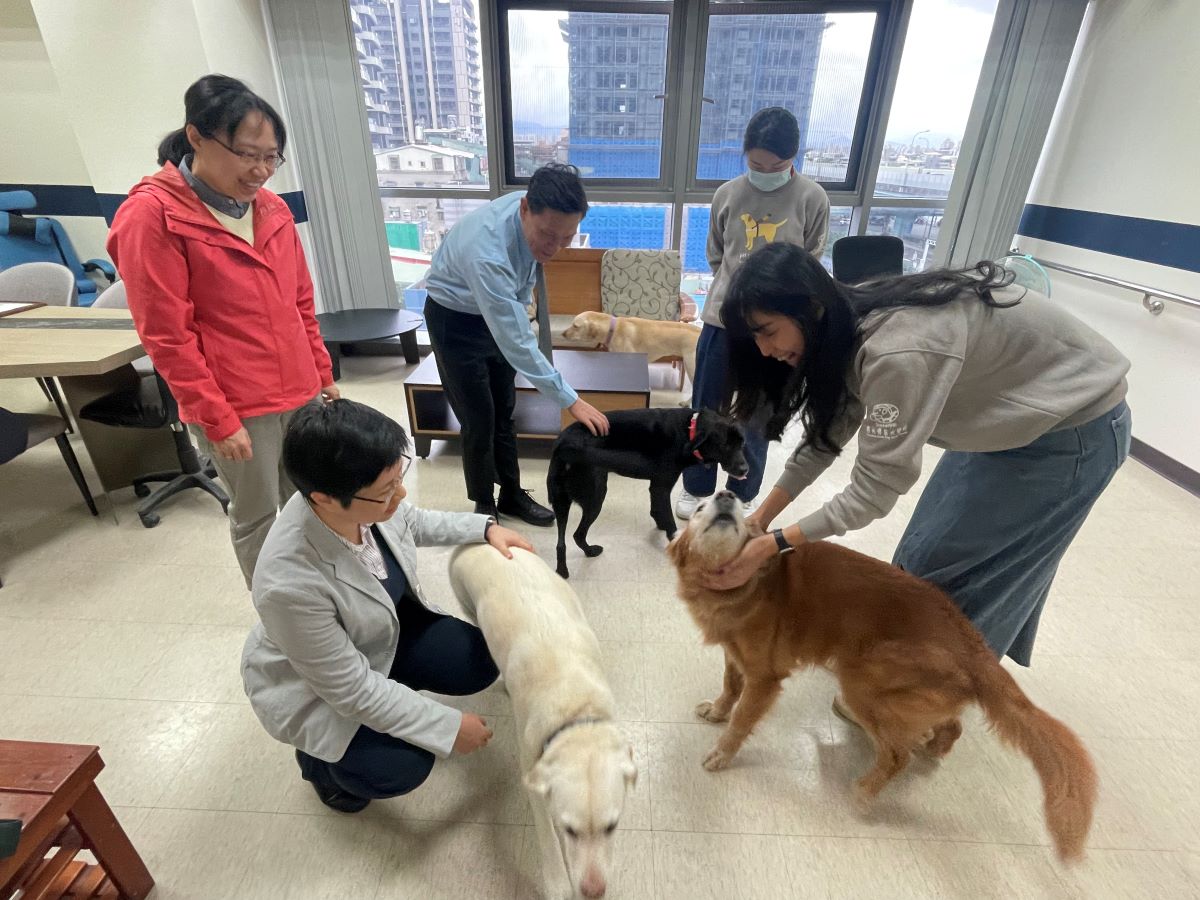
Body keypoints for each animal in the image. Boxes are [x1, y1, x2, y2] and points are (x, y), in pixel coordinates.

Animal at [451, 547, 638, 897]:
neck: (576, 711)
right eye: (570, 829)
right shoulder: (532, 770)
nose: (593, 891)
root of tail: (478, 543)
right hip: (464, 600)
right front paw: (557, 883)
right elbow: (546, 836)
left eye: (612, 826)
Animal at [549, 408, 744, 578]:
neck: (688, 430)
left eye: (742, 444)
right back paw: (589, 552)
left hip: (561, 503)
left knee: (561, 543)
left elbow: (656, 509)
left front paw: (660, 523)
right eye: (725, 445)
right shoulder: (662, 486)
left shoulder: (656, 485)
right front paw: (673, 539)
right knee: (578, 534)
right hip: (596, 497)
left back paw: (563, 570)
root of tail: (564, 445)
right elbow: (670, 522)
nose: (746, 469)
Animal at [667, 496, 1099, 864]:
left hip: (861, 681)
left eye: (740, 510)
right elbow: (729, 685)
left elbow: (742, 720)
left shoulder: (765, 677)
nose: (726, 495)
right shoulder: (735, 654)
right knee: (952, 726)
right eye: (703, 506)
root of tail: (973, 644)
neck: (747, 583)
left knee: (896, 755)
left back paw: (865, 791)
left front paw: (722, 753)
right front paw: (717, 710)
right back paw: (933, 748)